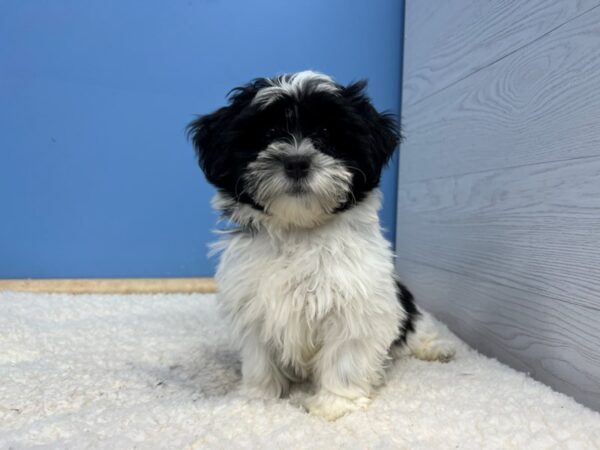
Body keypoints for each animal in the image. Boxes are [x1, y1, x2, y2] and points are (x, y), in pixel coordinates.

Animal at [188, 71, 454, 422]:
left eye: (326, 135)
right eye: (269, 133)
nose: (297, 162)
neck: (300, 231)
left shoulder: (355, 303)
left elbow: (345, 356)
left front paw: (334, 405)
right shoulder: (254, 302)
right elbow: (260, 356)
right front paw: (258, 398)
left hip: (401, 303)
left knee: (414, 325)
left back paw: (436, 347)